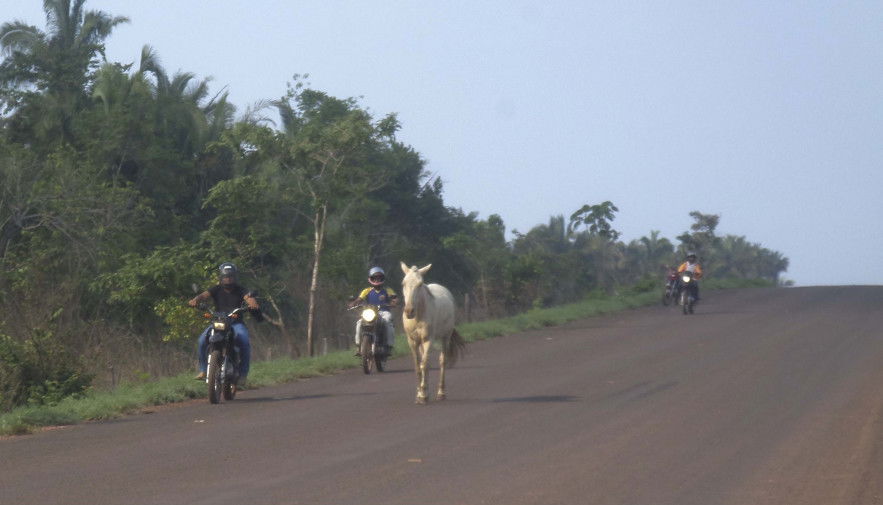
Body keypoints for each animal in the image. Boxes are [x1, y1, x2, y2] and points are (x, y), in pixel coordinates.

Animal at [402, 262, 470, 404]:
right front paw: (419, 394)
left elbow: (424, 364)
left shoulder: (428, 340)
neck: (418, 316)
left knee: (442, 361)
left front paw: (423, 396)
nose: (409, 311)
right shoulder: (412, 341)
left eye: (420, 284)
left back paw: (441, 393)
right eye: (403, 283)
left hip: (445, 337)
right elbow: (418, 366)